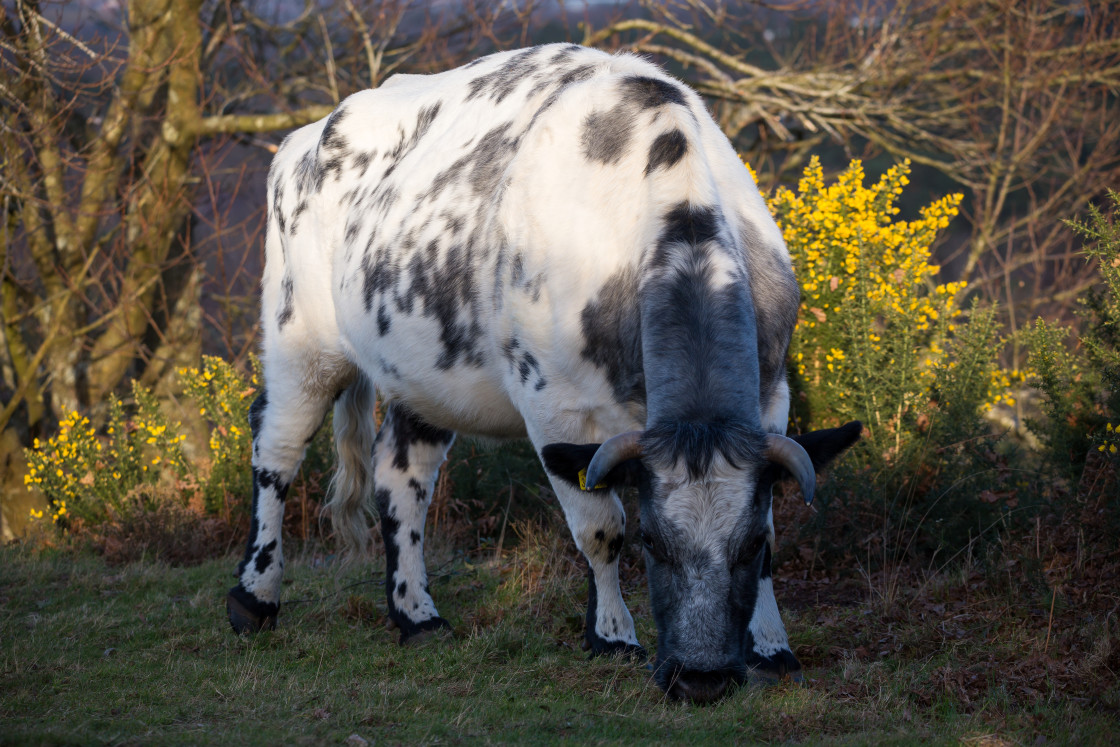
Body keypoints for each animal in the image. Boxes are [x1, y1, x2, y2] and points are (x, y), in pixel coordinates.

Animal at [225, 45, 855, 707]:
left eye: (746, 545)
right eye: (653, 541)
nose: (702, 681)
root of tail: (308, 135)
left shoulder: (770, 396)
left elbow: (772, 529)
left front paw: (772, 650)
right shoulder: (556, 406)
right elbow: (601, 528)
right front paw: (612, 638)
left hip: (421, 371)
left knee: (401, 475)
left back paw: (418, 615)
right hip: (301, 336)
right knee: (278, 445)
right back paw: (254, 599)